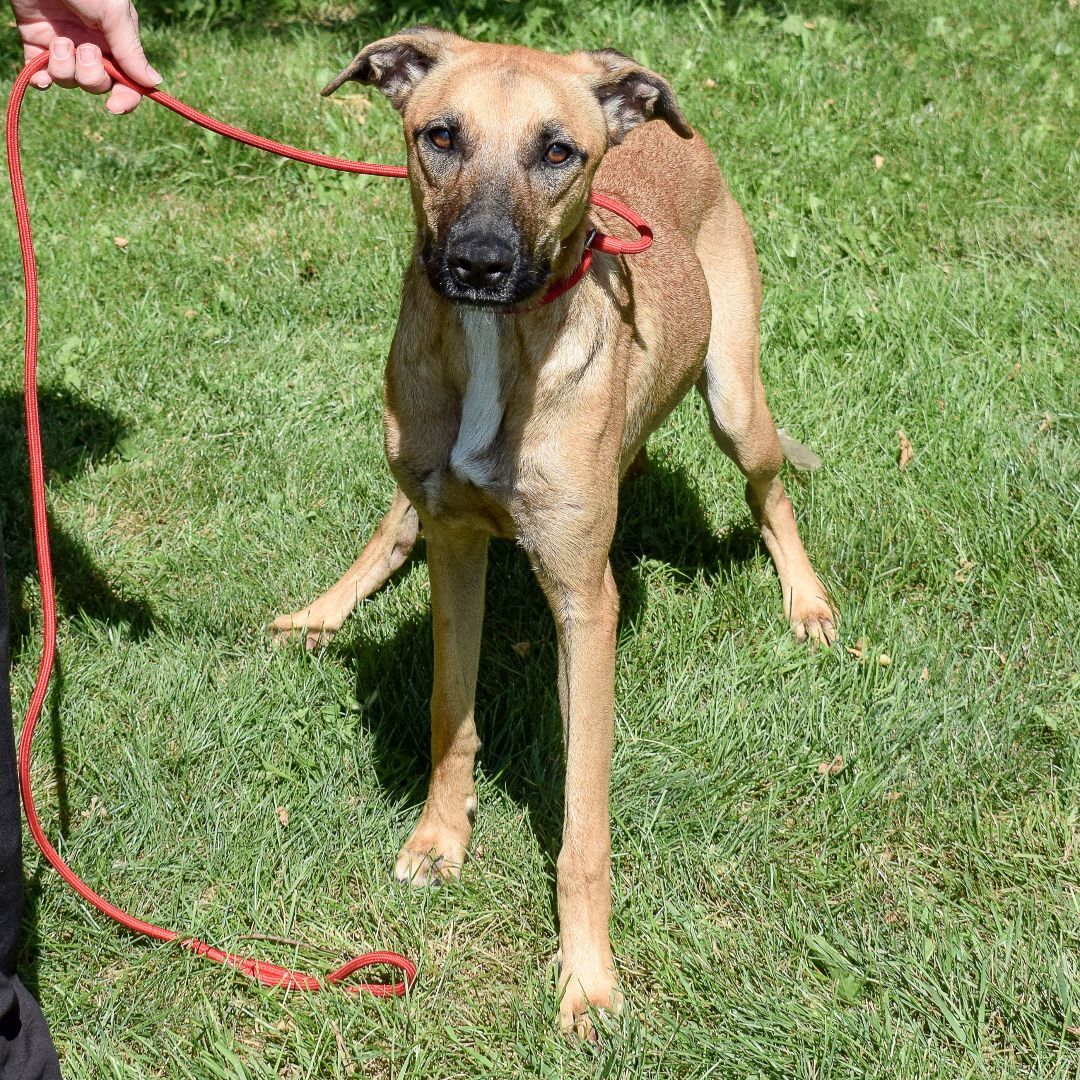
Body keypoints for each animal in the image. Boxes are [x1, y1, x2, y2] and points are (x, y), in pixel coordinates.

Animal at [271, 26, 835, 1037]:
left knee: (771, 497)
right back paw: (324, 610)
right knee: (393, 525)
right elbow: (449, 713)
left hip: (736, 400)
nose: (478, 264)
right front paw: (439, 837)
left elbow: (582, 826)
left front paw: (588, 978)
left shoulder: (583, 600)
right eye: (440, 135)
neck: (497, 348)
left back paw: (806, 602)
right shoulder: (456, 542)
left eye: (557, 151)